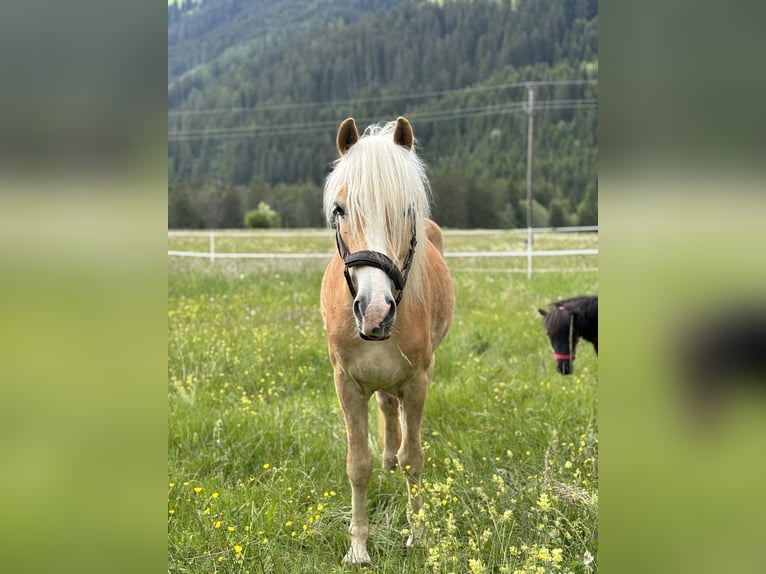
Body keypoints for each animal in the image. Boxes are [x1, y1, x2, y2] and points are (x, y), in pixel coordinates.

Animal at [320, 118, 452, 568]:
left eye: (407, 209)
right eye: (339, 210)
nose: (376, 311)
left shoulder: (417, 381)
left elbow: (415, 460)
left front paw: (418, 535)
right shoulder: (346, 383)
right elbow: (357, 465)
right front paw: (358, 547)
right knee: (385, 406)